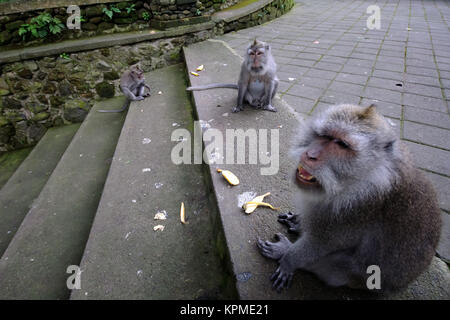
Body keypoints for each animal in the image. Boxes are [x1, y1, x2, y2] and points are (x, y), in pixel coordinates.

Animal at [258, 104, 442, 294]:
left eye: (342, 144)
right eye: (324, 136)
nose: (310, 154)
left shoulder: (355, 212)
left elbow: (321, 244)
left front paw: (289, 259)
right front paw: (297, 221)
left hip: (358, 279)